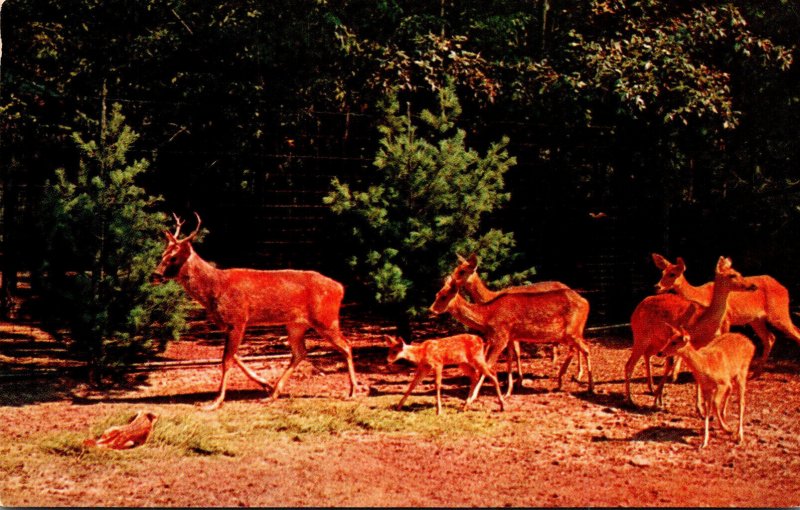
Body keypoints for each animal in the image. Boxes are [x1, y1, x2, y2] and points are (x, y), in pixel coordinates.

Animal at [152, 212, 358, 410]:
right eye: (162, 254)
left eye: (173, 257)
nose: (155, 274)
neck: (214, 288)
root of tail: (340, 288)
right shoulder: (226, 324)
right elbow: (234, 356)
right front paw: (265, 384)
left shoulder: (238, 318)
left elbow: (226, 360)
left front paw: (215, 402)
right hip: (296, 324)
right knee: (300, 352)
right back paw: (273, 394)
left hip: (325, 318)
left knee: (346, 345)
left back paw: (353, 391)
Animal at [428, 274, 592, 394]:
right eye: (436, 294)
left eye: (443, 296)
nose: (431, 310)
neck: (486, 317)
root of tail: (586, 302)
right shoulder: (509, 337)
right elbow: (508, 360)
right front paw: (509, 390)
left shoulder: (501, 336)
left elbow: (488, 364)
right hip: (568, 334)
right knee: (578, 349)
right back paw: (561, 382)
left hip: (572, 331)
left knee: (585, 348)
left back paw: (587, 386)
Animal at [652, 253, 796, 372]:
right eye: (662, 272)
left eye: (672, 274)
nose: (657, 286)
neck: (702, 296)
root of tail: (785, 289)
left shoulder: (726, 319)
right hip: (756, 320)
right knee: (770, 337)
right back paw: (755, 374)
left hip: (778, 313)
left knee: (794, 332)